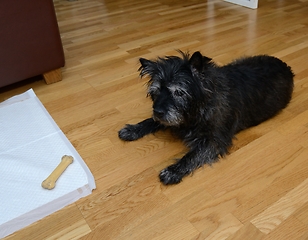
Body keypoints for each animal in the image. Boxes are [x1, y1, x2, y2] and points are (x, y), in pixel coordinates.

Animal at [118, 50, 294, 185]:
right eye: (156, 91)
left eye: (179, 92)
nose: (158, 111)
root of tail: (286, 66)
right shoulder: (173, 119)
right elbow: (151, 122)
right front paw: (133, 129)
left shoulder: (214, 141)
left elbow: (193, 155)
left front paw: (173, 171)